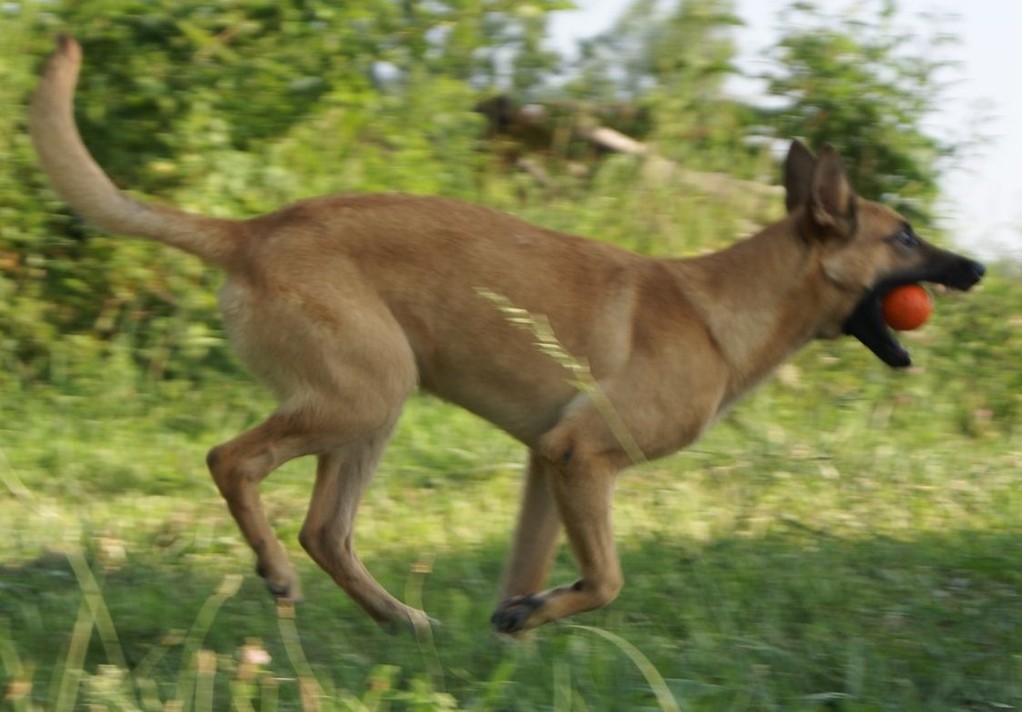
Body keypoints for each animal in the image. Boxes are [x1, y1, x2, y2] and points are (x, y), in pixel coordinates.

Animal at [27, 37, 985, 633]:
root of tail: (253, 229)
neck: (720, 308)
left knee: (326, 529)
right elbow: (606, 578)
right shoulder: (581, 456)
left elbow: (533, 575)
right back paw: (278, 576)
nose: (976, 268)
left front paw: (519, 628)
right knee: (234, 463)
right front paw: (539, 616)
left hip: (368, 414)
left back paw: (401, 620)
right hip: (365, 397)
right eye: (904, 237)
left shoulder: (549, 464)